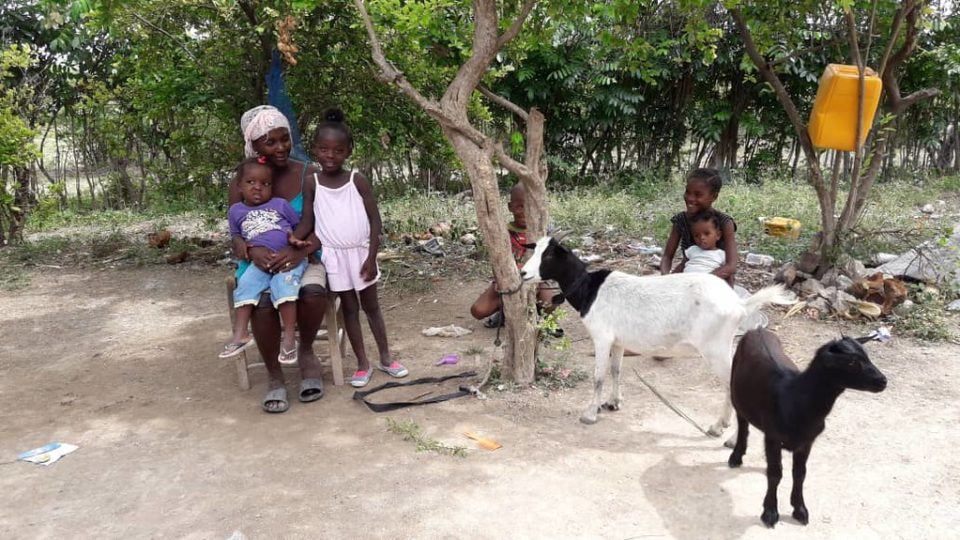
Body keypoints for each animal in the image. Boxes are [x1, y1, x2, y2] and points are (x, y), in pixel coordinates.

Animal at [520, 236, 792, 434]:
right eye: (535, 249)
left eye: (549, 255)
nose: (523, 273)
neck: (591, 288)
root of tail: (738, 304)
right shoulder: (618, 341)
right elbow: (616, 370)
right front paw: (613, 403)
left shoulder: (601, 337)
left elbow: (598, 376)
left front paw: (589, 414)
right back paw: (722, 426)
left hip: (715, 348)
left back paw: (721, 432)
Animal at [732, 330, 888, 528]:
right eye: (851, 362)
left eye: (867, 356)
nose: (883, 381)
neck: (795, 399)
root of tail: (757, 329)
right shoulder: (772, 436)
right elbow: (775, 474)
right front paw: (770, 512)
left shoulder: (807, 441)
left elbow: (800, 474)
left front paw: (800, 509)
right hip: (735, 393)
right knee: (742, 422)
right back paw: (736, 456)